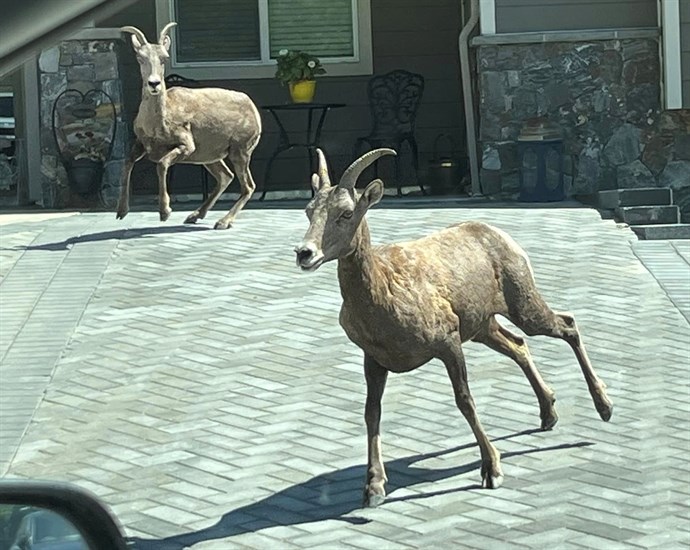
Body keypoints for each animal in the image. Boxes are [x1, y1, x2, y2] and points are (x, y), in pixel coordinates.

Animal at [117, 23, 260, 230]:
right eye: (140, 57)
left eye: (164, 58)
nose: (154, 84)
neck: (158, 122)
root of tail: (253, 108)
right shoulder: (141, 144)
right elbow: (127, 164)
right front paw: (121, 212)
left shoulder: (185, 146)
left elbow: (161, 165)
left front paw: (165, 212)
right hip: (209, 157)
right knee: (225, 177)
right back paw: (194, 216)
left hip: (239, 152)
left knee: (248, 186)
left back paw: (222, 222)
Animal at [292, 150, 612, 508]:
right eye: (309, 211)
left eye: (346, 213)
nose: (305, 253)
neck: (386, 292)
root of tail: (501, 236)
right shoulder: (373, 360)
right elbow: (371, 412)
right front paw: (373, 488)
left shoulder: (448, 344)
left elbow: (465, 401)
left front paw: (492, 470)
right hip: (485, 327)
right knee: (518, 345)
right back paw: (548, 415)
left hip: (524, 308)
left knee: (567, 326)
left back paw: (604, 408)